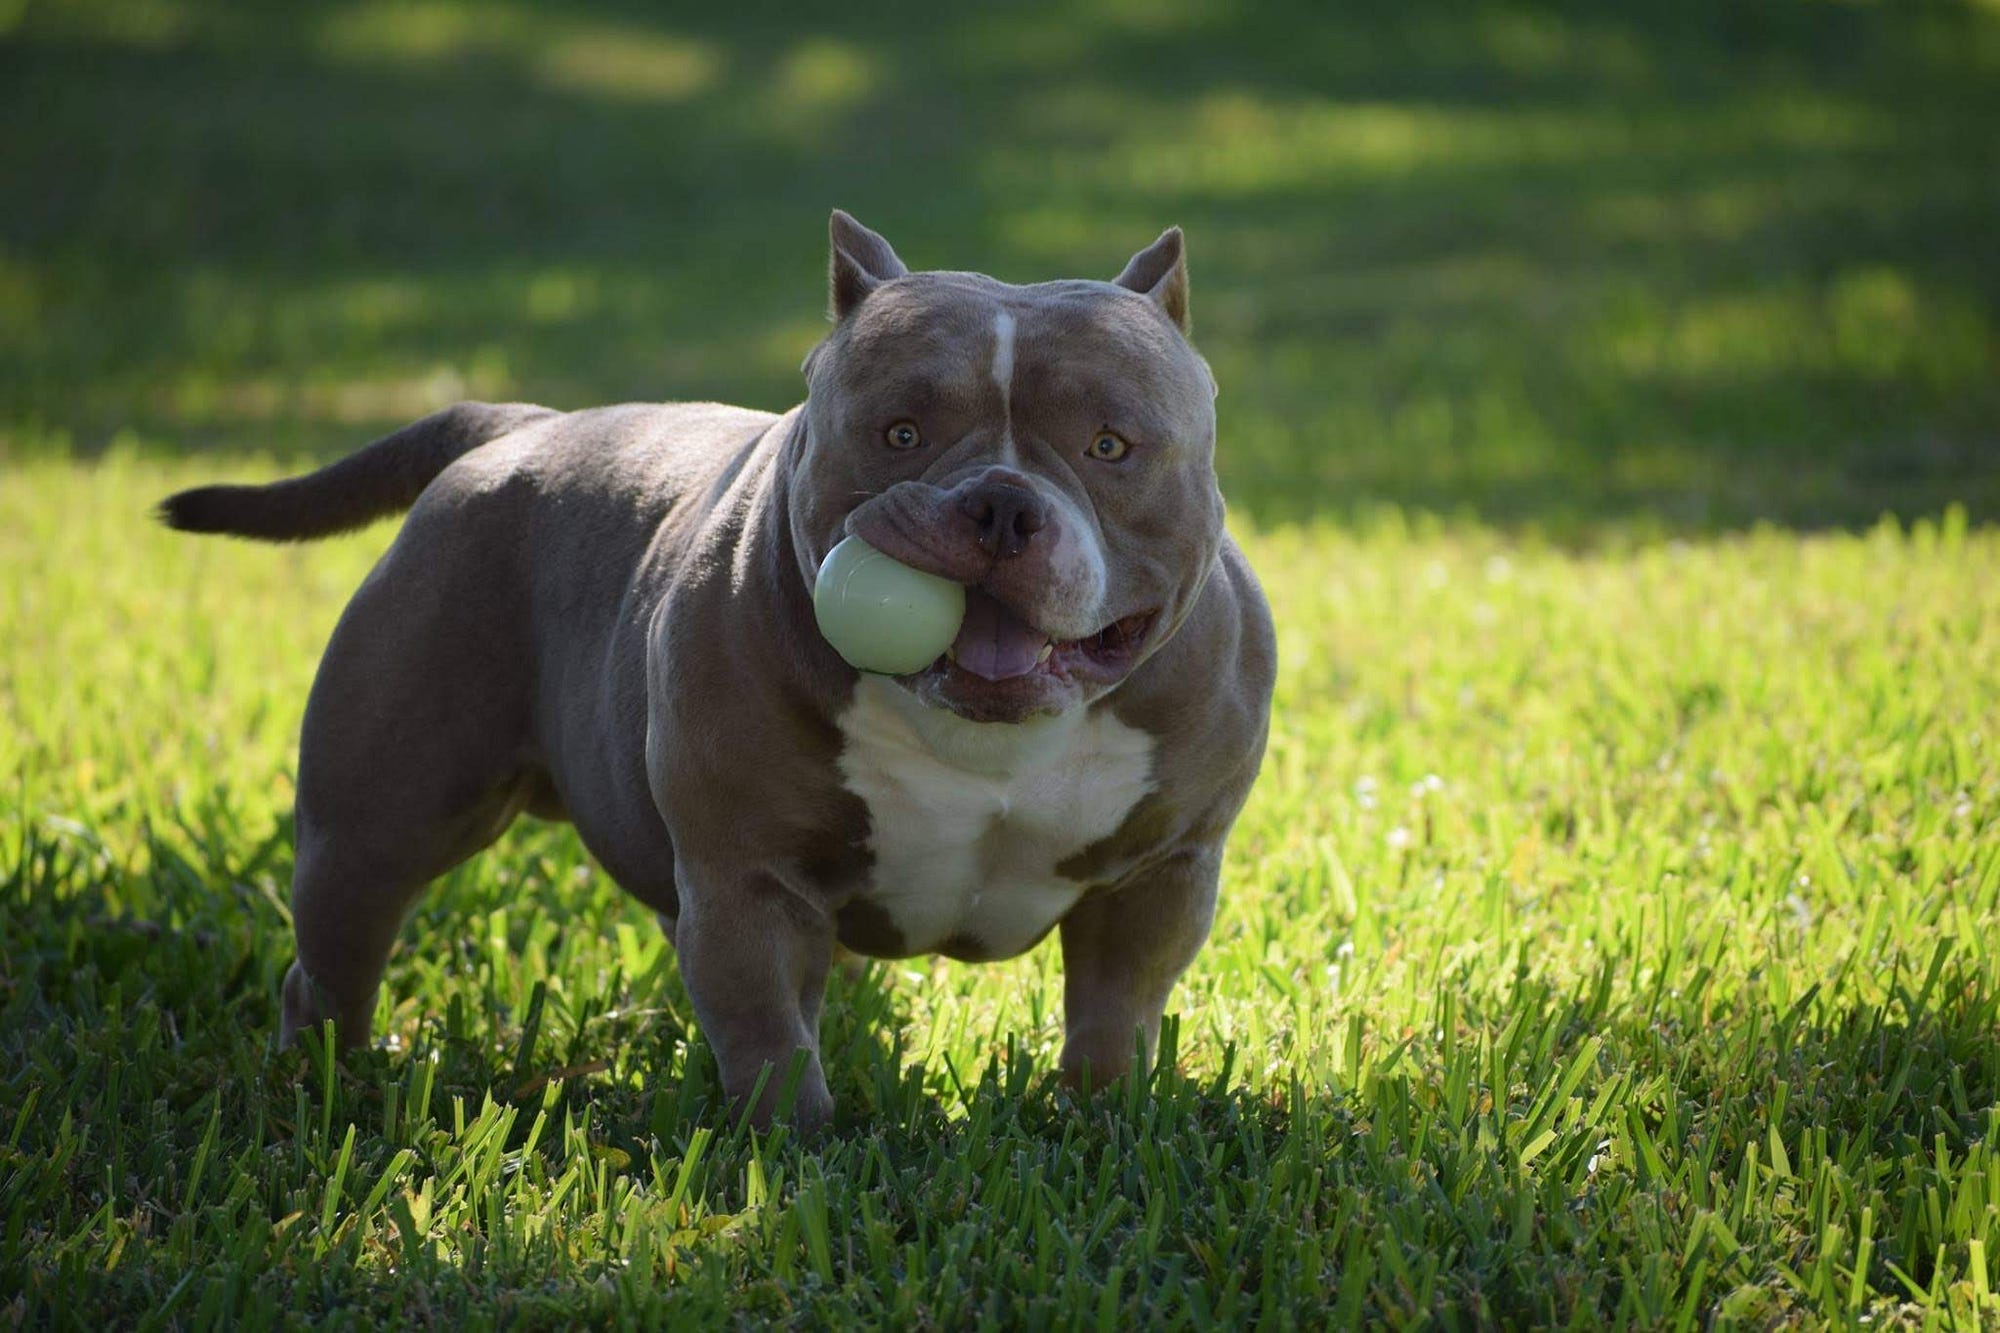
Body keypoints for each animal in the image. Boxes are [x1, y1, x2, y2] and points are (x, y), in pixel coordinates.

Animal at [164, 213, 1272, 1128]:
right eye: (899, 433)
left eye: (1110, 445)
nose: (997, 505)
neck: (984, 739)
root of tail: (524, 427)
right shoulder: (747, 879)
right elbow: (768, 1033)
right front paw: (798, 1148)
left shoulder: (1163, 872)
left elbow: (1113, 1011)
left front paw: (1100, 1119)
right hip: (379, 819)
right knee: (336, 946)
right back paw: (326, 1077)